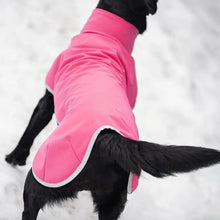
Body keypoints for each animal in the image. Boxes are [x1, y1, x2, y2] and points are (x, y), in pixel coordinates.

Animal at [4, 0, 220, 220]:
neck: (106, 37)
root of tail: (111, 140)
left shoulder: (47, 101)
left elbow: (29, 132)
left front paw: (13, 158)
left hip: (43, 177)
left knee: (30, 207)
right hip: (113, 201)